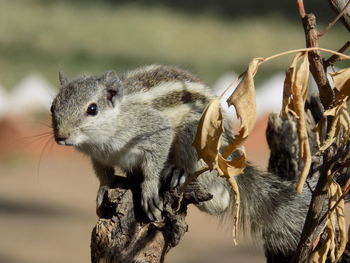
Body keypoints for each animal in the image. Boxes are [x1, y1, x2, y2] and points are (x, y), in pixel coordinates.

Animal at [51, 65, 314, 258]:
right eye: (53, 106)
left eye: (92, 109)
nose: (61, 136)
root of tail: (226, 158)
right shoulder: (99, 158)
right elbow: (104, 175)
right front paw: (103, 190)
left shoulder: (153, 130)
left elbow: (155, 158)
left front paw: (148, 190)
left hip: (197, 137)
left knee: (219, 196)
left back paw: (178, 172)